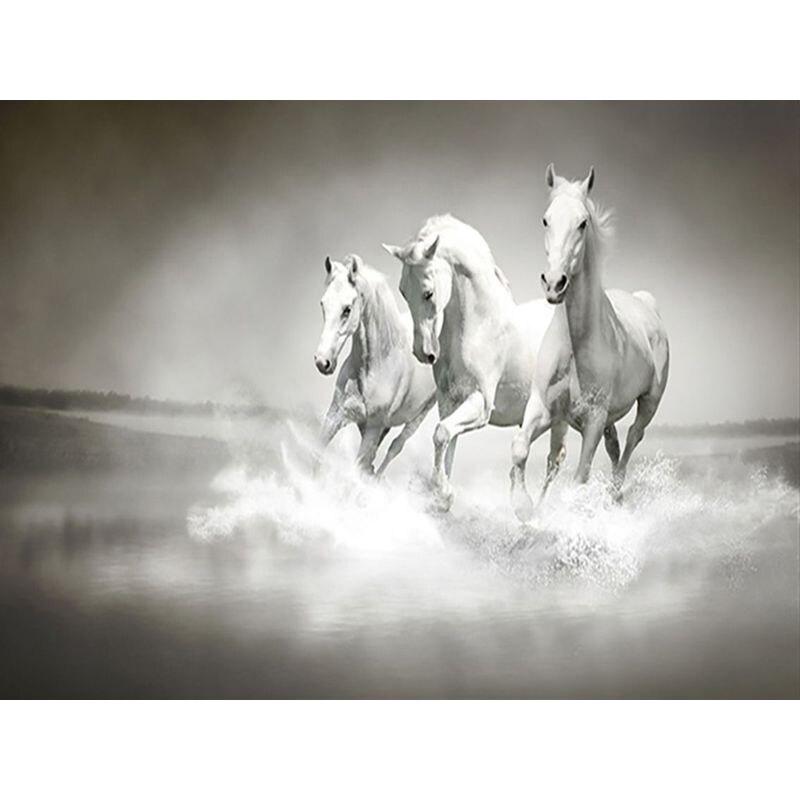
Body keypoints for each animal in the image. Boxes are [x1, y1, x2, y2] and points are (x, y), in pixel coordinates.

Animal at [314, 254, 437, 476]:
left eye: (347, 309)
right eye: (323, 304)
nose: (322, 362)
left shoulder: (373, 427)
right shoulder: (335, 415)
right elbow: (315, 457)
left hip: (419, 415)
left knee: (395, 447)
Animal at [383, 214, 560, 511]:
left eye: (428, 293)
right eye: (402, 292)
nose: (422, 353)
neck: (479, 327)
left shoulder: (481, 403)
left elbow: (441, 434)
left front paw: (444, 494)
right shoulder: (449, 402)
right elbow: (447, 445)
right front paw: (441, 498)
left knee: (556, 460)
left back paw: (534, 510)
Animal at [509, 164, 670, 520]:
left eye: (583, 222)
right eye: (545, 220)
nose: (554, 284)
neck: (576, 344)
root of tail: (646, 304)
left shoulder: (594, 418)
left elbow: (580, 476)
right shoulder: (544, 407)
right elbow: (521, 448)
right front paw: (524, 507)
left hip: (648, 402)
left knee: (633, 437)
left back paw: (615, 493)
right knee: (612, 446)